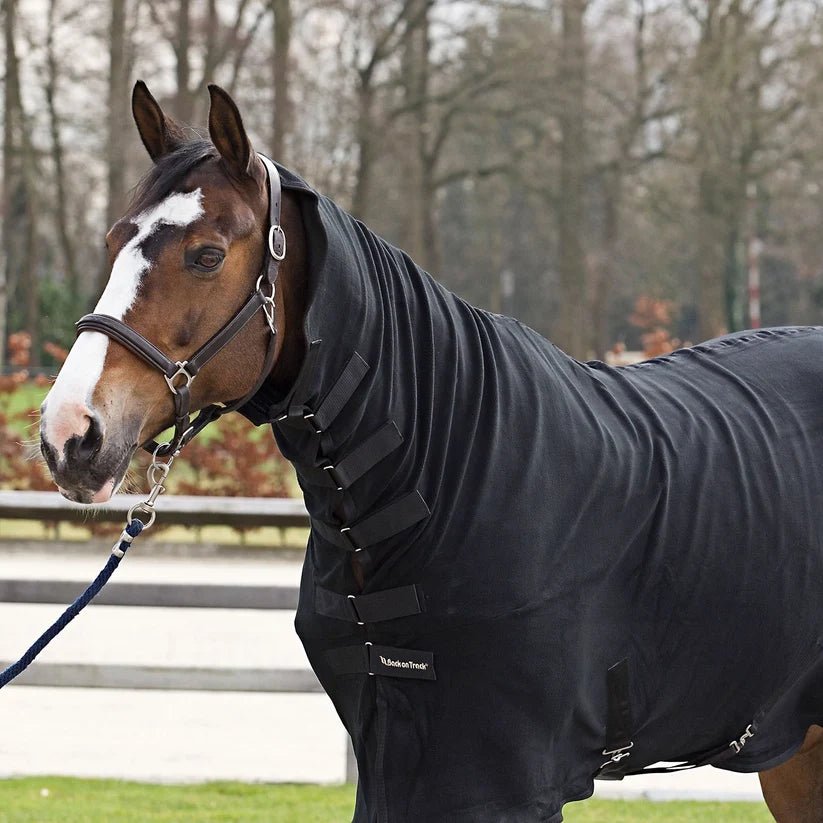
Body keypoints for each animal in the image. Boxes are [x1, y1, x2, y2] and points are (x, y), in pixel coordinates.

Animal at [38, 81, 823, 822]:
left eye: (206, 255)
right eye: (113, 242)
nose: (69, 434)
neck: (439, 465)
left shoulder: (502, 782)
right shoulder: (398, 760)